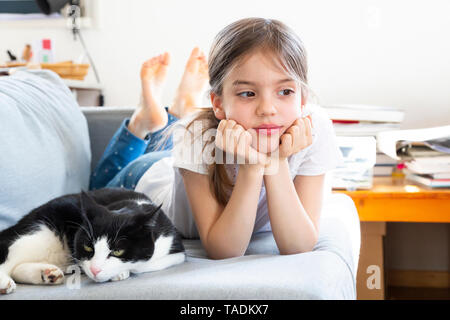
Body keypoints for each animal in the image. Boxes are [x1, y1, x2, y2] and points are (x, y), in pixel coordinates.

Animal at [0, 188, 185, 296]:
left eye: (118, 250)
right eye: (88, 246)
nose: (95, 270)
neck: (133, 205)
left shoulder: (177, 250)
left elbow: (147, 263)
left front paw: (119, 272)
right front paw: (119, 273)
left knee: (17, 266)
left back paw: (47, 273)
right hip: (43, 231)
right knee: (9, 253)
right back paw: (5, 283)